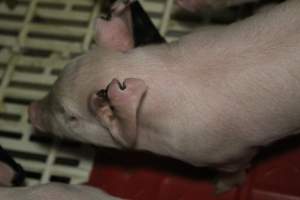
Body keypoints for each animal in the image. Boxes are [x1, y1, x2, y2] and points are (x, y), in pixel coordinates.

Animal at [29, 0, 300, 193]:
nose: (30, 111)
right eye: (59, 74)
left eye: (70, 117)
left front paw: (219, 188)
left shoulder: (230, 152)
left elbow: (236, 168)